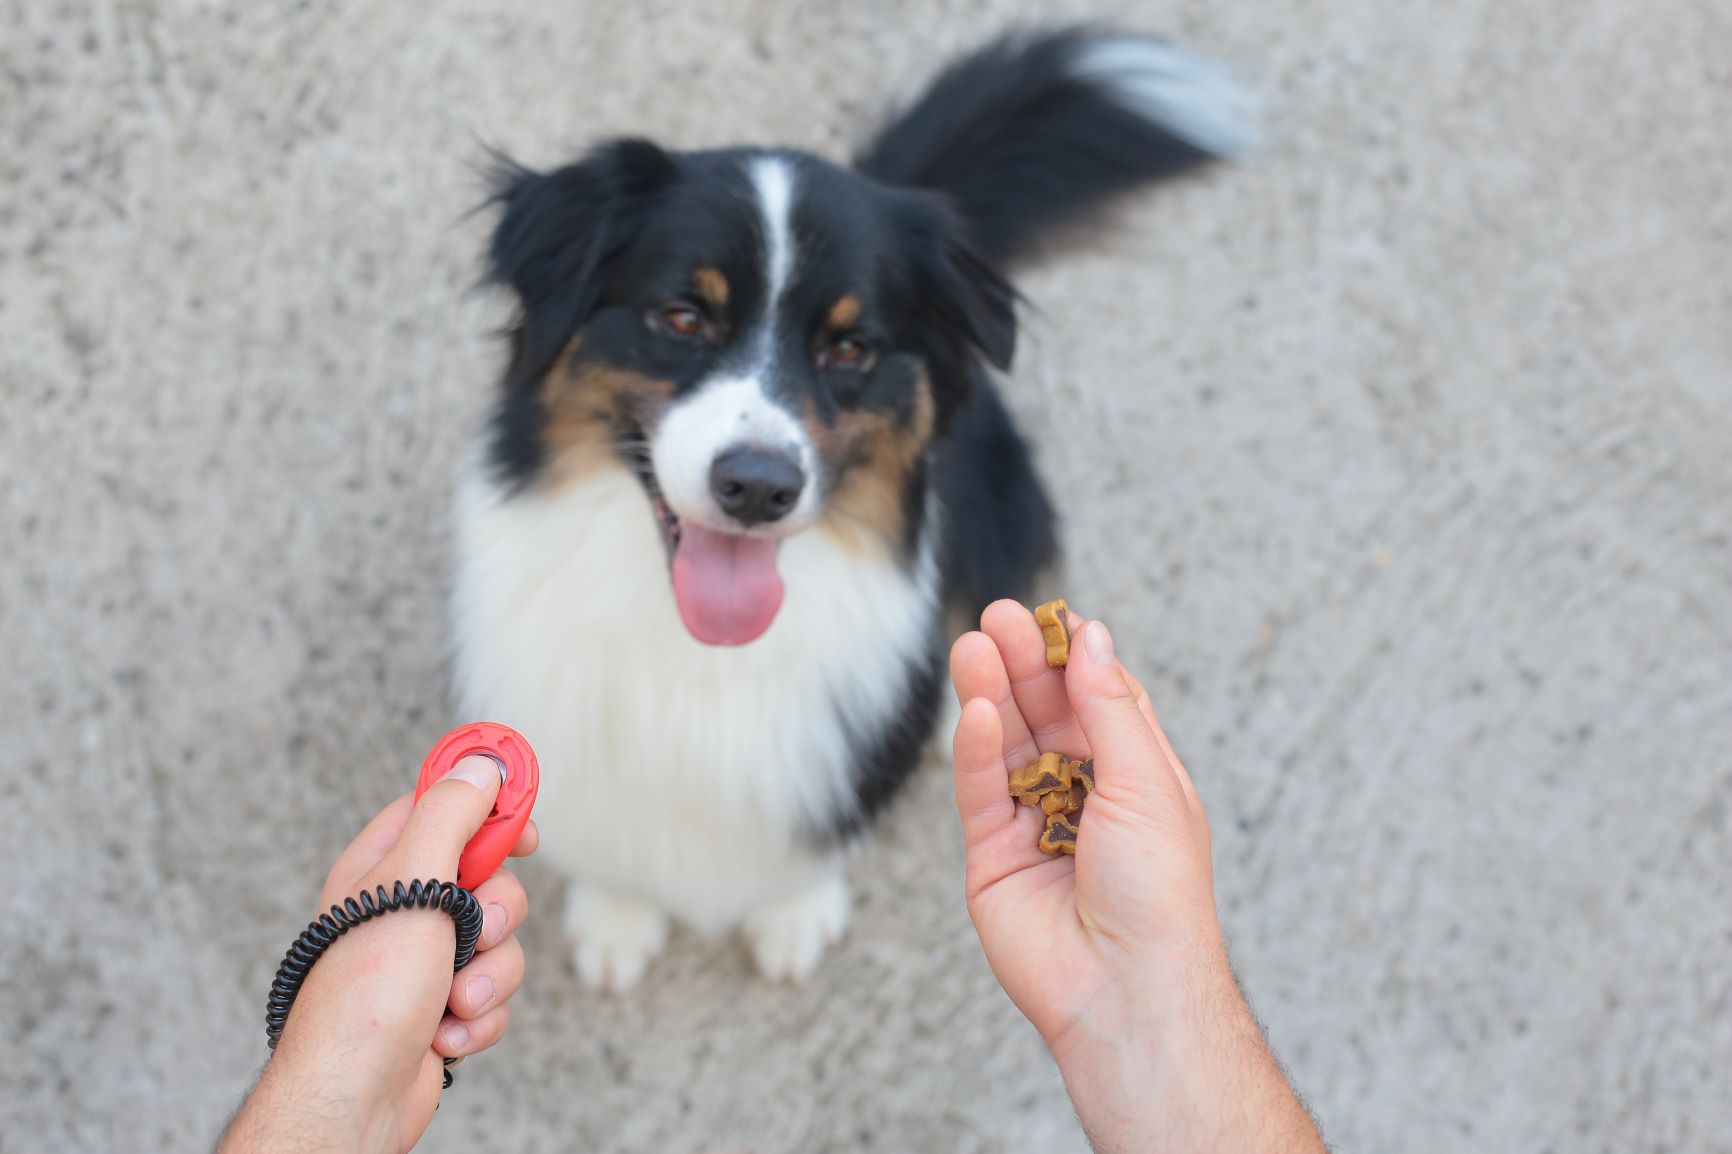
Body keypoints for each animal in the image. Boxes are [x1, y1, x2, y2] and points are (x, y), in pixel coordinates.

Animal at [453, 26, 1253, 984]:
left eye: (849, 347)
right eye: (682, 317)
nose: (758, 487)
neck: (700, 652)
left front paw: (792, 910)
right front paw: (617, 915)